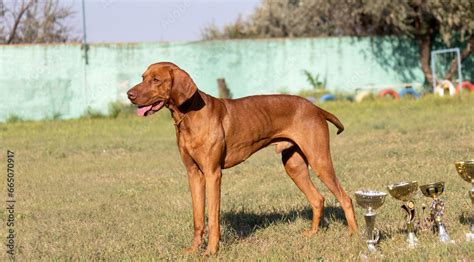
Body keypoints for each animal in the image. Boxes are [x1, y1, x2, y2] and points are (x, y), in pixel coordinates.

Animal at [128, 62, 358, 255]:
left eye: (156, 80)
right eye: (143, 77)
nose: (129, 94)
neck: (188, 116)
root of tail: (316, 108)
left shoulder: (213, 174)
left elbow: (213, 218)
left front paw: (211, 251)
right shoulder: (193, 174)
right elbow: (198, 218)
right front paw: (193, 250)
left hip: (320, 160)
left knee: (345, 198)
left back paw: (354, 235)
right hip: (294, 166)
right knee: (318, 199)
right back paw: (312, 233)